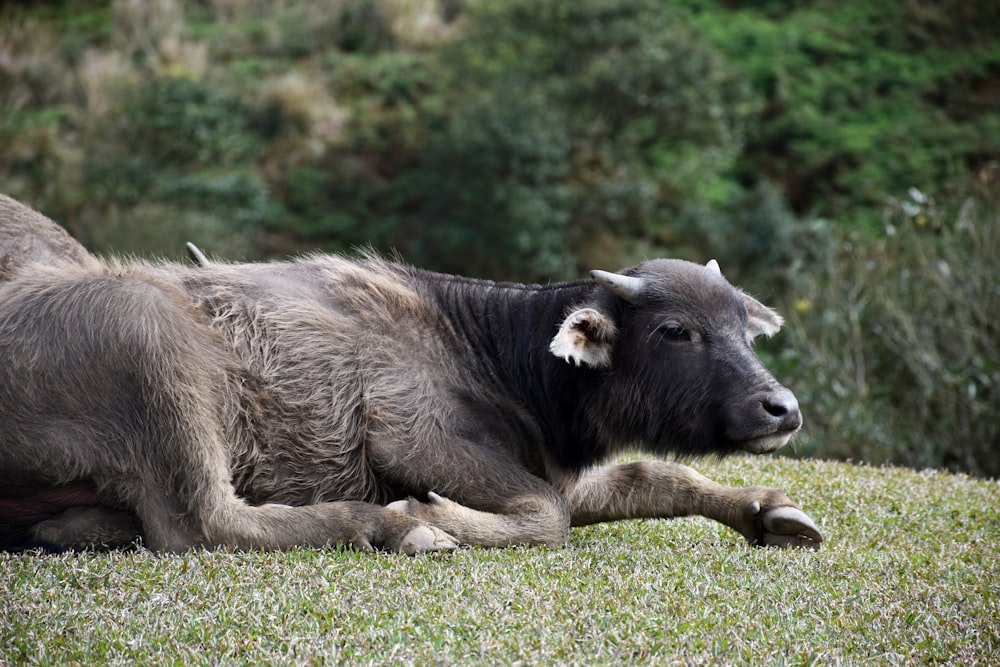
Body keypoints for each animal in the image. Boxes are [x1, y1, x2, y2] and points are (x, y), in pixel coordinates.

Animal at [0, 196, 820, 556]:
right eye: (677, 330)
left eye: (742, 324)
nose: (781, 408)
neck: (488, 354)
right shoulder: (410, 438)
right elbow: (547, 515)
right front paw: (437, 517)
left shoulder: (551, 463)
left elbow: (651, 476)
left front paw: (771, 511)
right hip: (150, 344)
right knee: (201, 523)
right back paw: (393, 526)